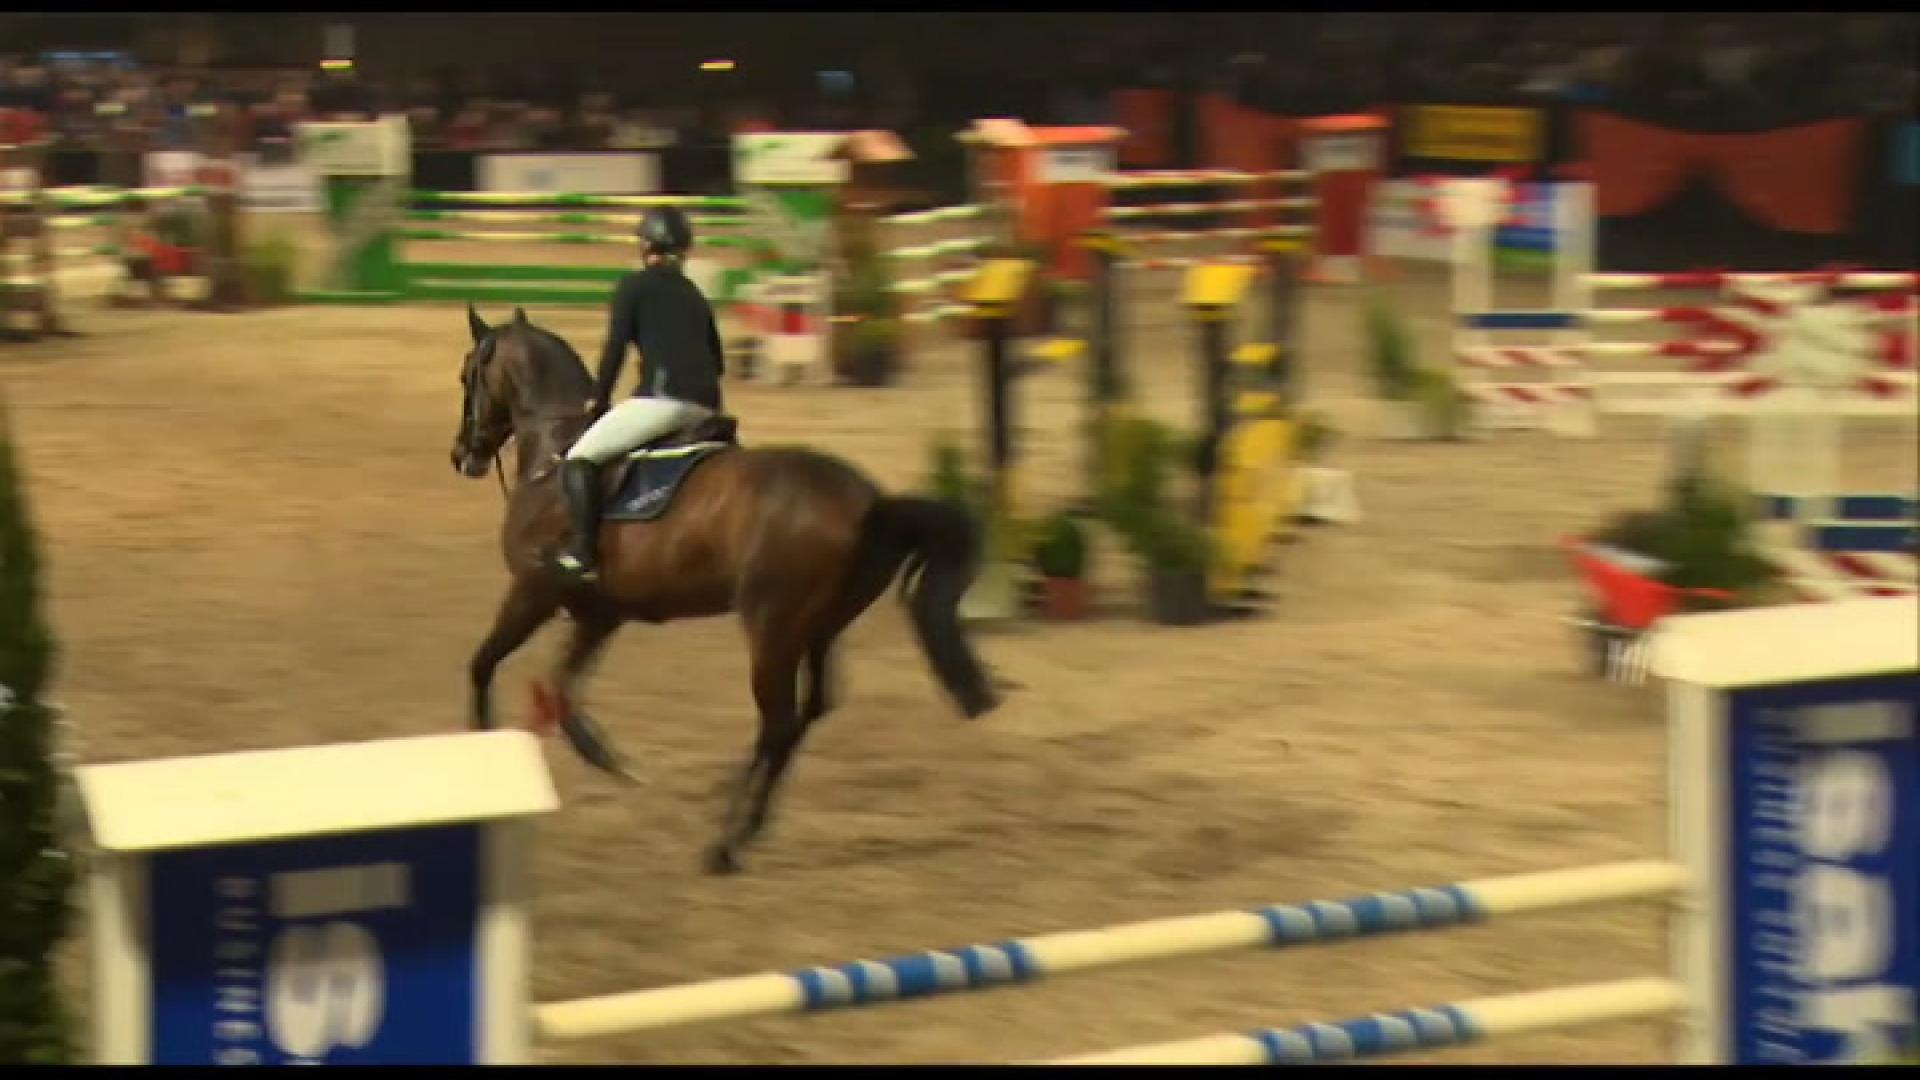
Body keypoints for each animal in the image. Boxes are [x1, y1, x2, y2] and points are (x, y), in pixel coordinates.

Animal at [450, 306, 1002, 874]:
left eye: (467, 374)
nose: (461, 454)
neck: (555, 455)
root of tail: (871, 502)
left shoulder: (533, 593)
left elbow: (483, 664)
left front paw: (483, 754)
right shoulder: (597, 615)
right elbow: (560, 692)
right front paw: (614, 762)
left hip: (771, 627)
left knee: (779, 722)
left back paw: (725, 843)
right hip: (819, 628)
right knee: (809, 712)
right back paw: (741, 818)